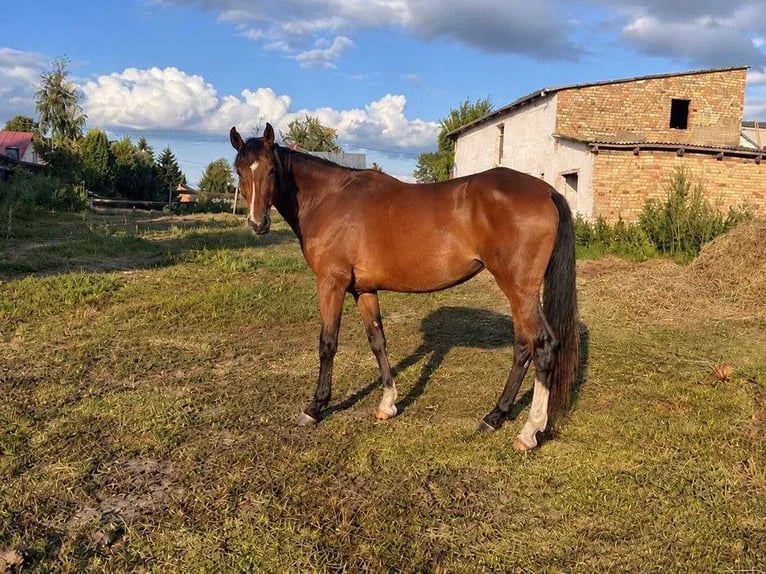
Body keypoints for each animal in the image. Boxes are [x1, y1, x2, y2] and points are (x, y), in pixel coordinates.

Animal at [230, 123, 579, 451]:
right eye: (239, 171)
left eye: (271, 170)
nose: (258, 223)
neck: (329, 199)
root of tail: (547, 192)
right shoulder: (364, 290)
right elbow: (377, 341)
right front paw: (388, 404)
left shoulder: (331, 282)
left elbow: (327, 344)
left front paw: (315, 408)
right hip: (520, 294)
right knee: (523, 347)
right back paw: (494, 416)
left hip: (520, 289)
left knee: (543, 345)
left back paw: (528, 431)